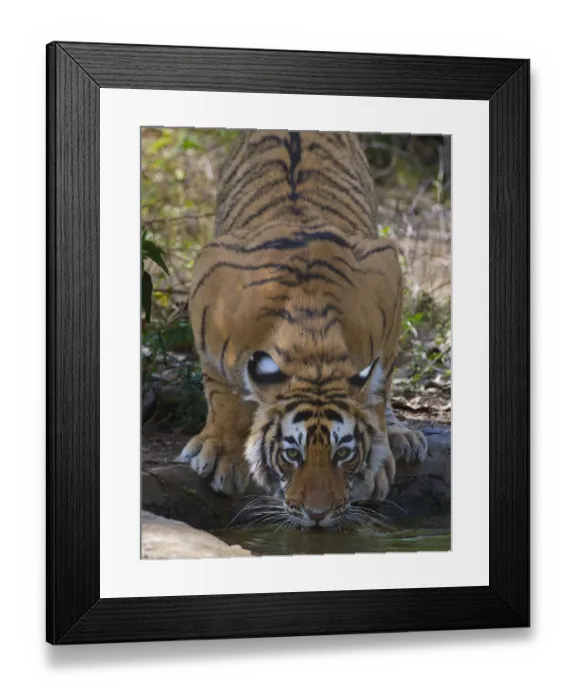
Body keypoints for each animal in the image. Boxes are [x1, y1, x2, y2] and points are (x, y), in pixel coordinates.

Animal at [177, 130, 428, 529]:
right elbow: (222, 390)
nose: (317, 515)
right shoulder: (209, 279)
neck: (313, 350)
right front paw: (222, 453)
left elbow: (378, 389)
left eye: (343, 454)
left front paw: (376, 463)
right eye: (292, 455)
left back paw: (403, 435)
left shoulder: (387, 274)